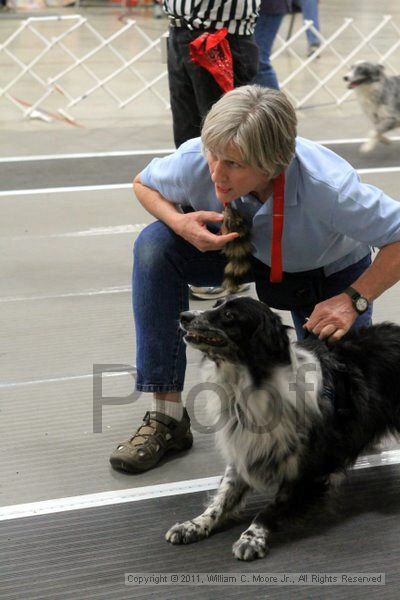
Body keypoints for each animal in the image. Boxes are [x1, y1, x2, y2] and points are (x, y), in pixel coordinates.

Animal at [165, 298, 400, 560]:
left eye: (229, 315)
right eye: (216, 304)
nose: (183, 315)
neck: (250, 383)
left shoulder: (308, 470)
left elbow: (269, 509)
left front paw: (251, 537)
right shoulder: (244, 451)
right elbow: (223, 497)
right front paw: (193, 525)